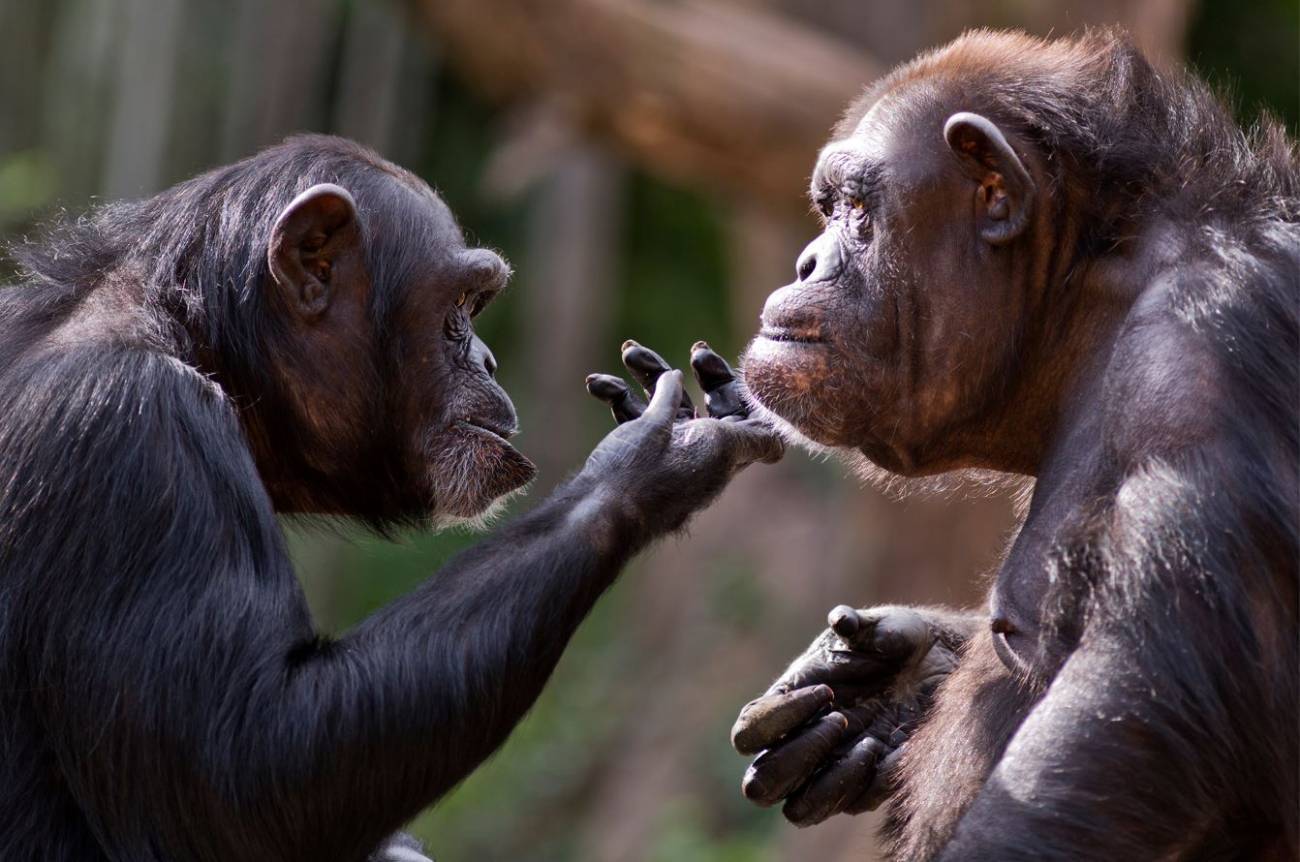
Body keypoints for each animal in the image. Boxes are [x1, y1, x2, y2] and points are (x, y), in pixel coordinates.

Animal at [0, 135, 780, 862]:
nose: (488, 360)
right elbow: (239, 774)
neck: (196, 341)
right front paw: (648, 459)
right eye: (460, 305)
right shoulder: (132, 429)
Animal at [728, 28, 1294, 862]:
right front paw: (890, 685)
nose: (807, 261)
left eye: (858, 211)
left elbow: (1138, 719)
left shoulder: (1197, 371)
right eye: (828, 209)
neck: (1089, 295)